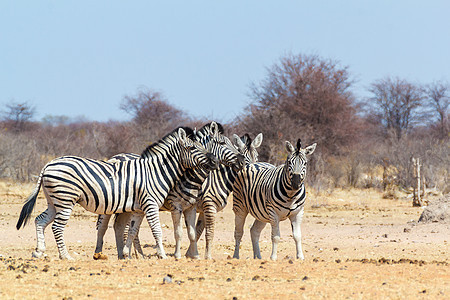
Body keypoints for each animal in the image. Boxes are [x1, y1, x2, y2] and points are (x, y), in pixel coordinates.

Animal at [17, 125, 220, 258]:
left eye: (202, 147)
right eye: (192, 148)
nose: (213, 161)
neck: (156, 171)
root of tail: (49, 164)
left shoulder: (139, 208)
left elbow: (132, 231)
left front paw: (127, 254)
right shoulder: (151, 204)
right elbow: (157, 230)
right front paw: (162, 255)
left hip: (54, 201)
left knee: (40, 220)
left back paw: (39, 251)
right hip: (65, 200)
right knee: (57, 227)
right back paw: (65, 256)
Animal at [92, 121, 244, 258]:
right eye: (222, 143)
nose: (241, 160)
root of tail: (114, 157)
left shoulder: (193, 206)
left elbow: (194, 232)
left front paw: (194, 256)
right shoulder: (179, 205)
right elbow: (181, 232)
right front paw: (180, 255)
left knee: (121, 227)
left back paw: (128, 255)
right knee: (103, 226)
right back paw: (102, 253)